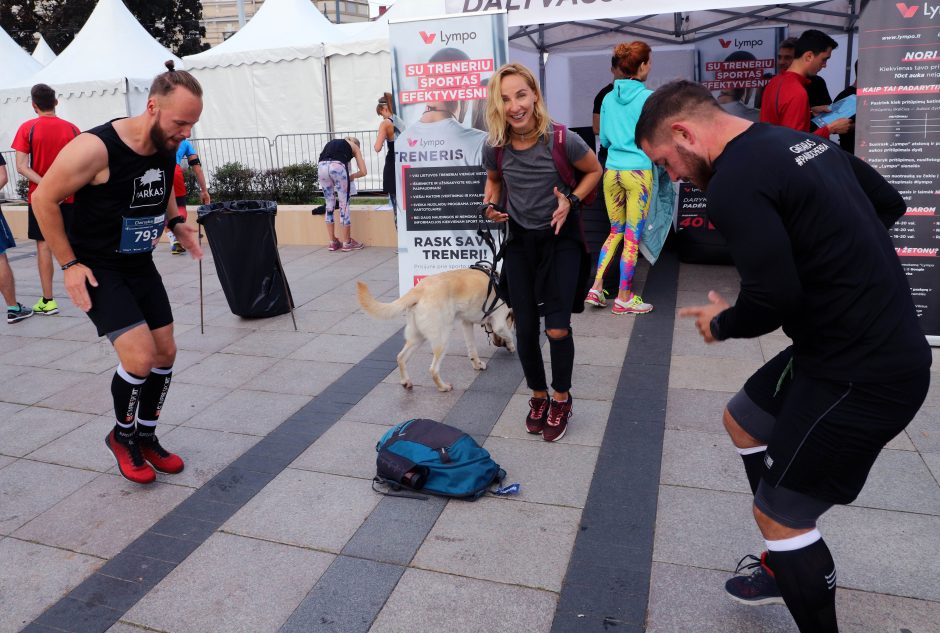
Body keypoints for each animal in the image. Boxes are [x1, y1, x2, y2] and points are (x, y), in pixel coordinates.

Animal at [356, 270, 516, 392]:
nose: (498, 345)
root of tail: (418, 290)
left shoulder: (467, 323)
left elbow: (472, 349)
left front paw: (476, 364)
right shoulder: (499, 323)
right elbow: (509, 335)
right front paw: (511, 346)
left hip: (417, 337)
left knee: (401, 357)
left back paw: (406, 381)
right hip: (442, 340)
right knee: (433, 370)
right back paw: (443, 387)